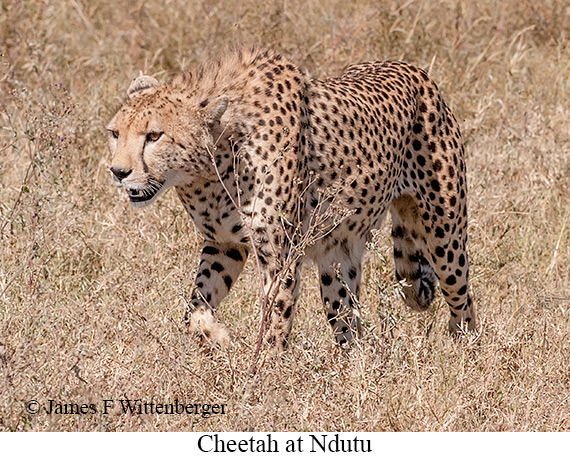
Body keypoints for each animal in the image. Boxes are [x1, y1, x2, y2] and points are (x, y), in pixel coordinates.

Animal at [106, 48, 474, 350]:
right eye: (114, 133)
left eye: (154, 136)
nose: (118, 171)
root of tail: (411, 68)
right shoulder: (225, 244)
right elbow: (195, 307)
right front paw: (216, 336)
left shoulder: (279, 257)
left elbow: (274, 321)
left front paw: (265, 376)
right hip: (337, 257)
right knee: (349, 322)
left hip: (444, 235)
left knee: (462, 298)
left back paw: (464, 350)